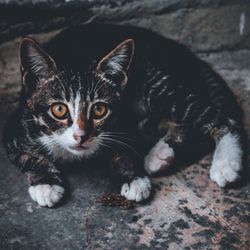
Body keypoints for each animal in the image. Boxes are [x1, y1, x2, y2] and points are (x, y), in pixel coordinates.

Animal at [3, 23, 243, 207]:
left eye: (99, 109)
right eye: (59, 110)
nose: (81, 136)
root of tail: (188, 55)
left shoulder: (123, 120)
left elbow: (124, 146)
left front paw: (132, 177)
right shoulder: (17, 126)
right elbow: (28, 156)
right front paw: (46, 184)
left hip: (155, 83)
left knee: (220, 118)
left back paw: (225, 162)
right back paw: (161, 154)